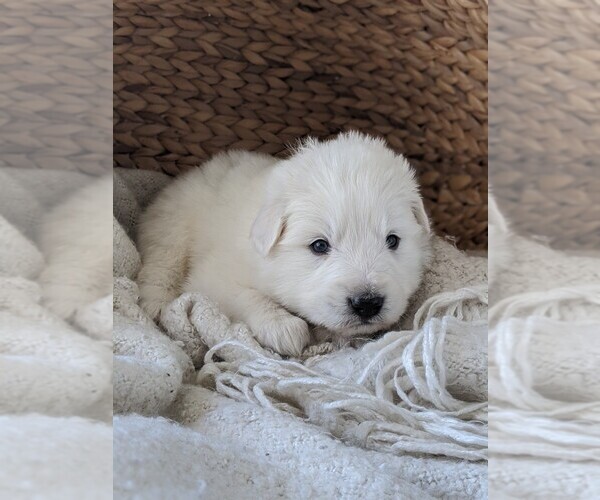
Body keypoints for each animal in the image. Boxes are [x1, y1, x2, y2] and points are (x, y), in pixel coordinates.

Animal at [138, 133, 428, 356]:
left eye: (392, 240)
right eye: (319, 245)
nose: (367, 303)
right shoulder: (212, 277)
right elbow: (244, 295)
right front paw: (284, 328)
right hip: (172, 228)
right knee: (160, 265)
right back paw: (156, 305)